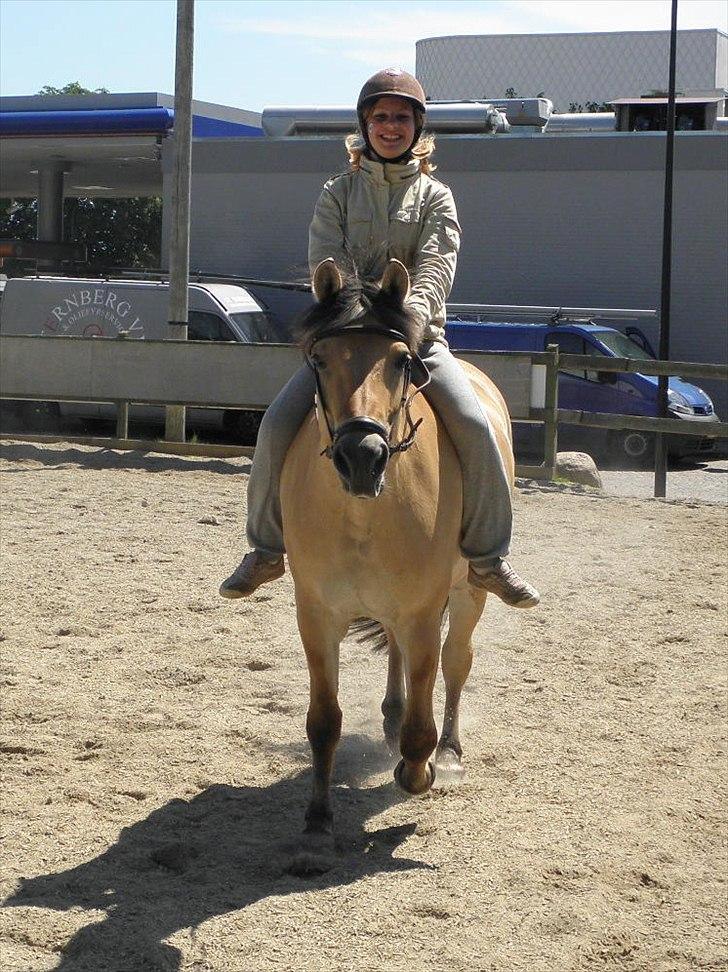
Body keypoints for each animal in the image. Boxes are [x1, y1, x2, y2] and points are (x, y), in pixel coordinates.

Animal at [278, 256, 512, 860]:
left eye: (402, 361)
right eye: (319, 359)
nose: (362, 456)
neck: (364, 513)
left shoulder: (424, 611)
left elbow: (423, 714)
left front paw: (419, 770)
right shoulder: (316, 615)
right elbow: (324, 721)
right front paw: (316, 823)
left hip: (469, 592)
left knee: (456, 662)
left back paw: (448, 753)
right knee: (398, 658)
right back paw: (391, 716)